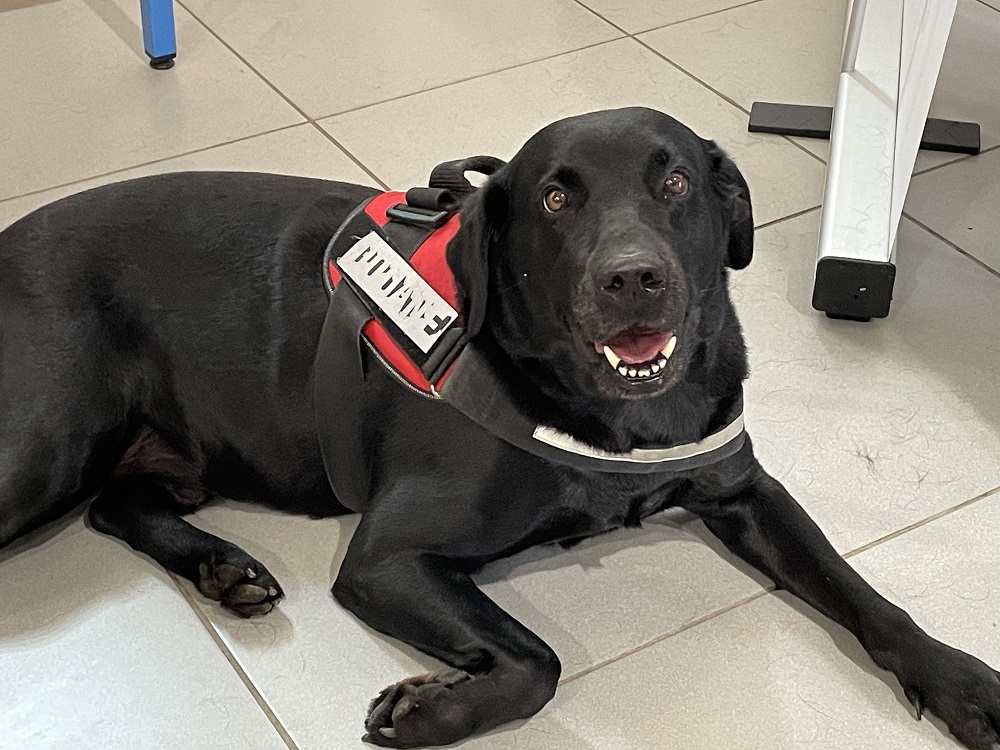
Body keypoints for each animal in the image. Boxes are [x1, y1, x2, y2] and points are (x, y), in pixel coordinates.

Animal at [1, 107, 998, 749]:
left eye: (675, 181)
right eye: (557, 200)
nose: (632, 278)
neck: (618, 417)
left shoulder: (744, 489)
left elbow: (859, 589)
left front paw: (957, 678)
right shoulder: (389, 554)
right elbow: (541, 661)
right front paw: (435, 711)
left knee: (120, 505)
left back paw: (222, 565)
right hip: (45, 443)